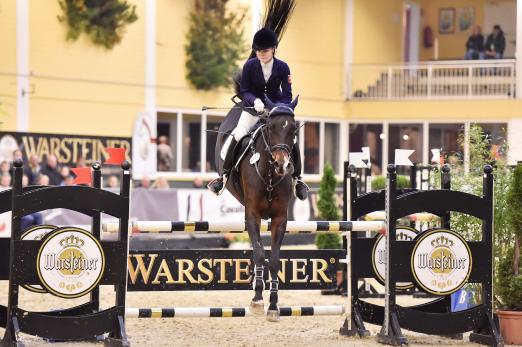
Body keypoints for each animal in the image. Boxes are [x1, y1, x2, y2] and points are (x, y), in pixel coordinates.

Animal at [213, 96, 296, 322]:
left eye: (293, 129)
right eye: (270, 127)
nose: (281, 164)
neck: (269, 175)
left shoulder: (279, 219)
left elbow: (274, 260)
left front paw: (273, 305)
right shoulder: (252, 216)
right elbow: (259, 254)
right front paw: (258, 299)